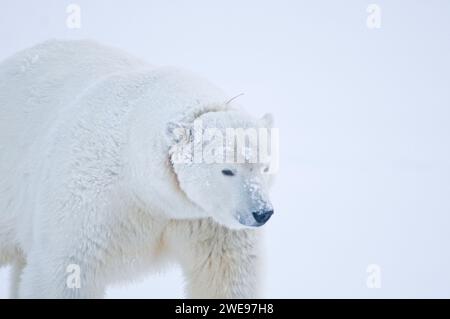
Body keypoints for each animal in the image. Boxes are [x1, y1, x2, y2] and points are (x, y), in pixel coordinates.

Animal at [0, 40, 274, 300]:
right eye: (227, 171)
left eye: (265, 167)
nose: (262, 212)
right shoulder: (88, 204)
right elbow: (67, 270)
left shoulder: (208, 222)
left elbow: (228, 274)